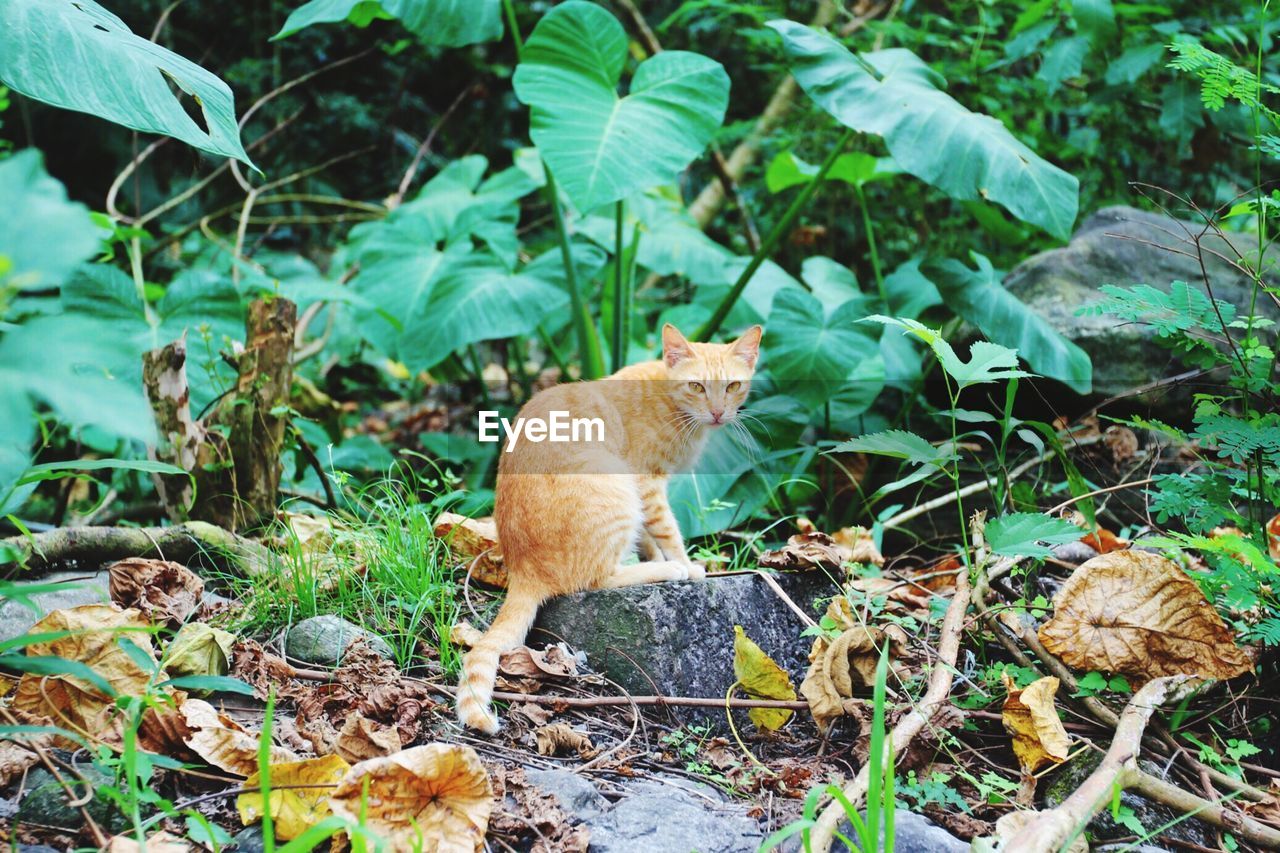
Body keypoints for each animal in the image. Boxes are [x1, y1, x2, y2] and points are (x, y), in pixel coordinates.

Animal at [458, 322, 757, 727]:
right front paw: (685, 562)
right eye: (696, 386)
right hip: (615, 489)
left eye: (732, 386)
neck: (671, 400)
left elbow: (649, 534)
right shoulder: (646, 482)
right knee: (597, 579)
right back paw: (668, 570)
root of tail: (522, 569)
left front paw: (655, 555)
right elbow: (667, 529)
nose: (717, 412)